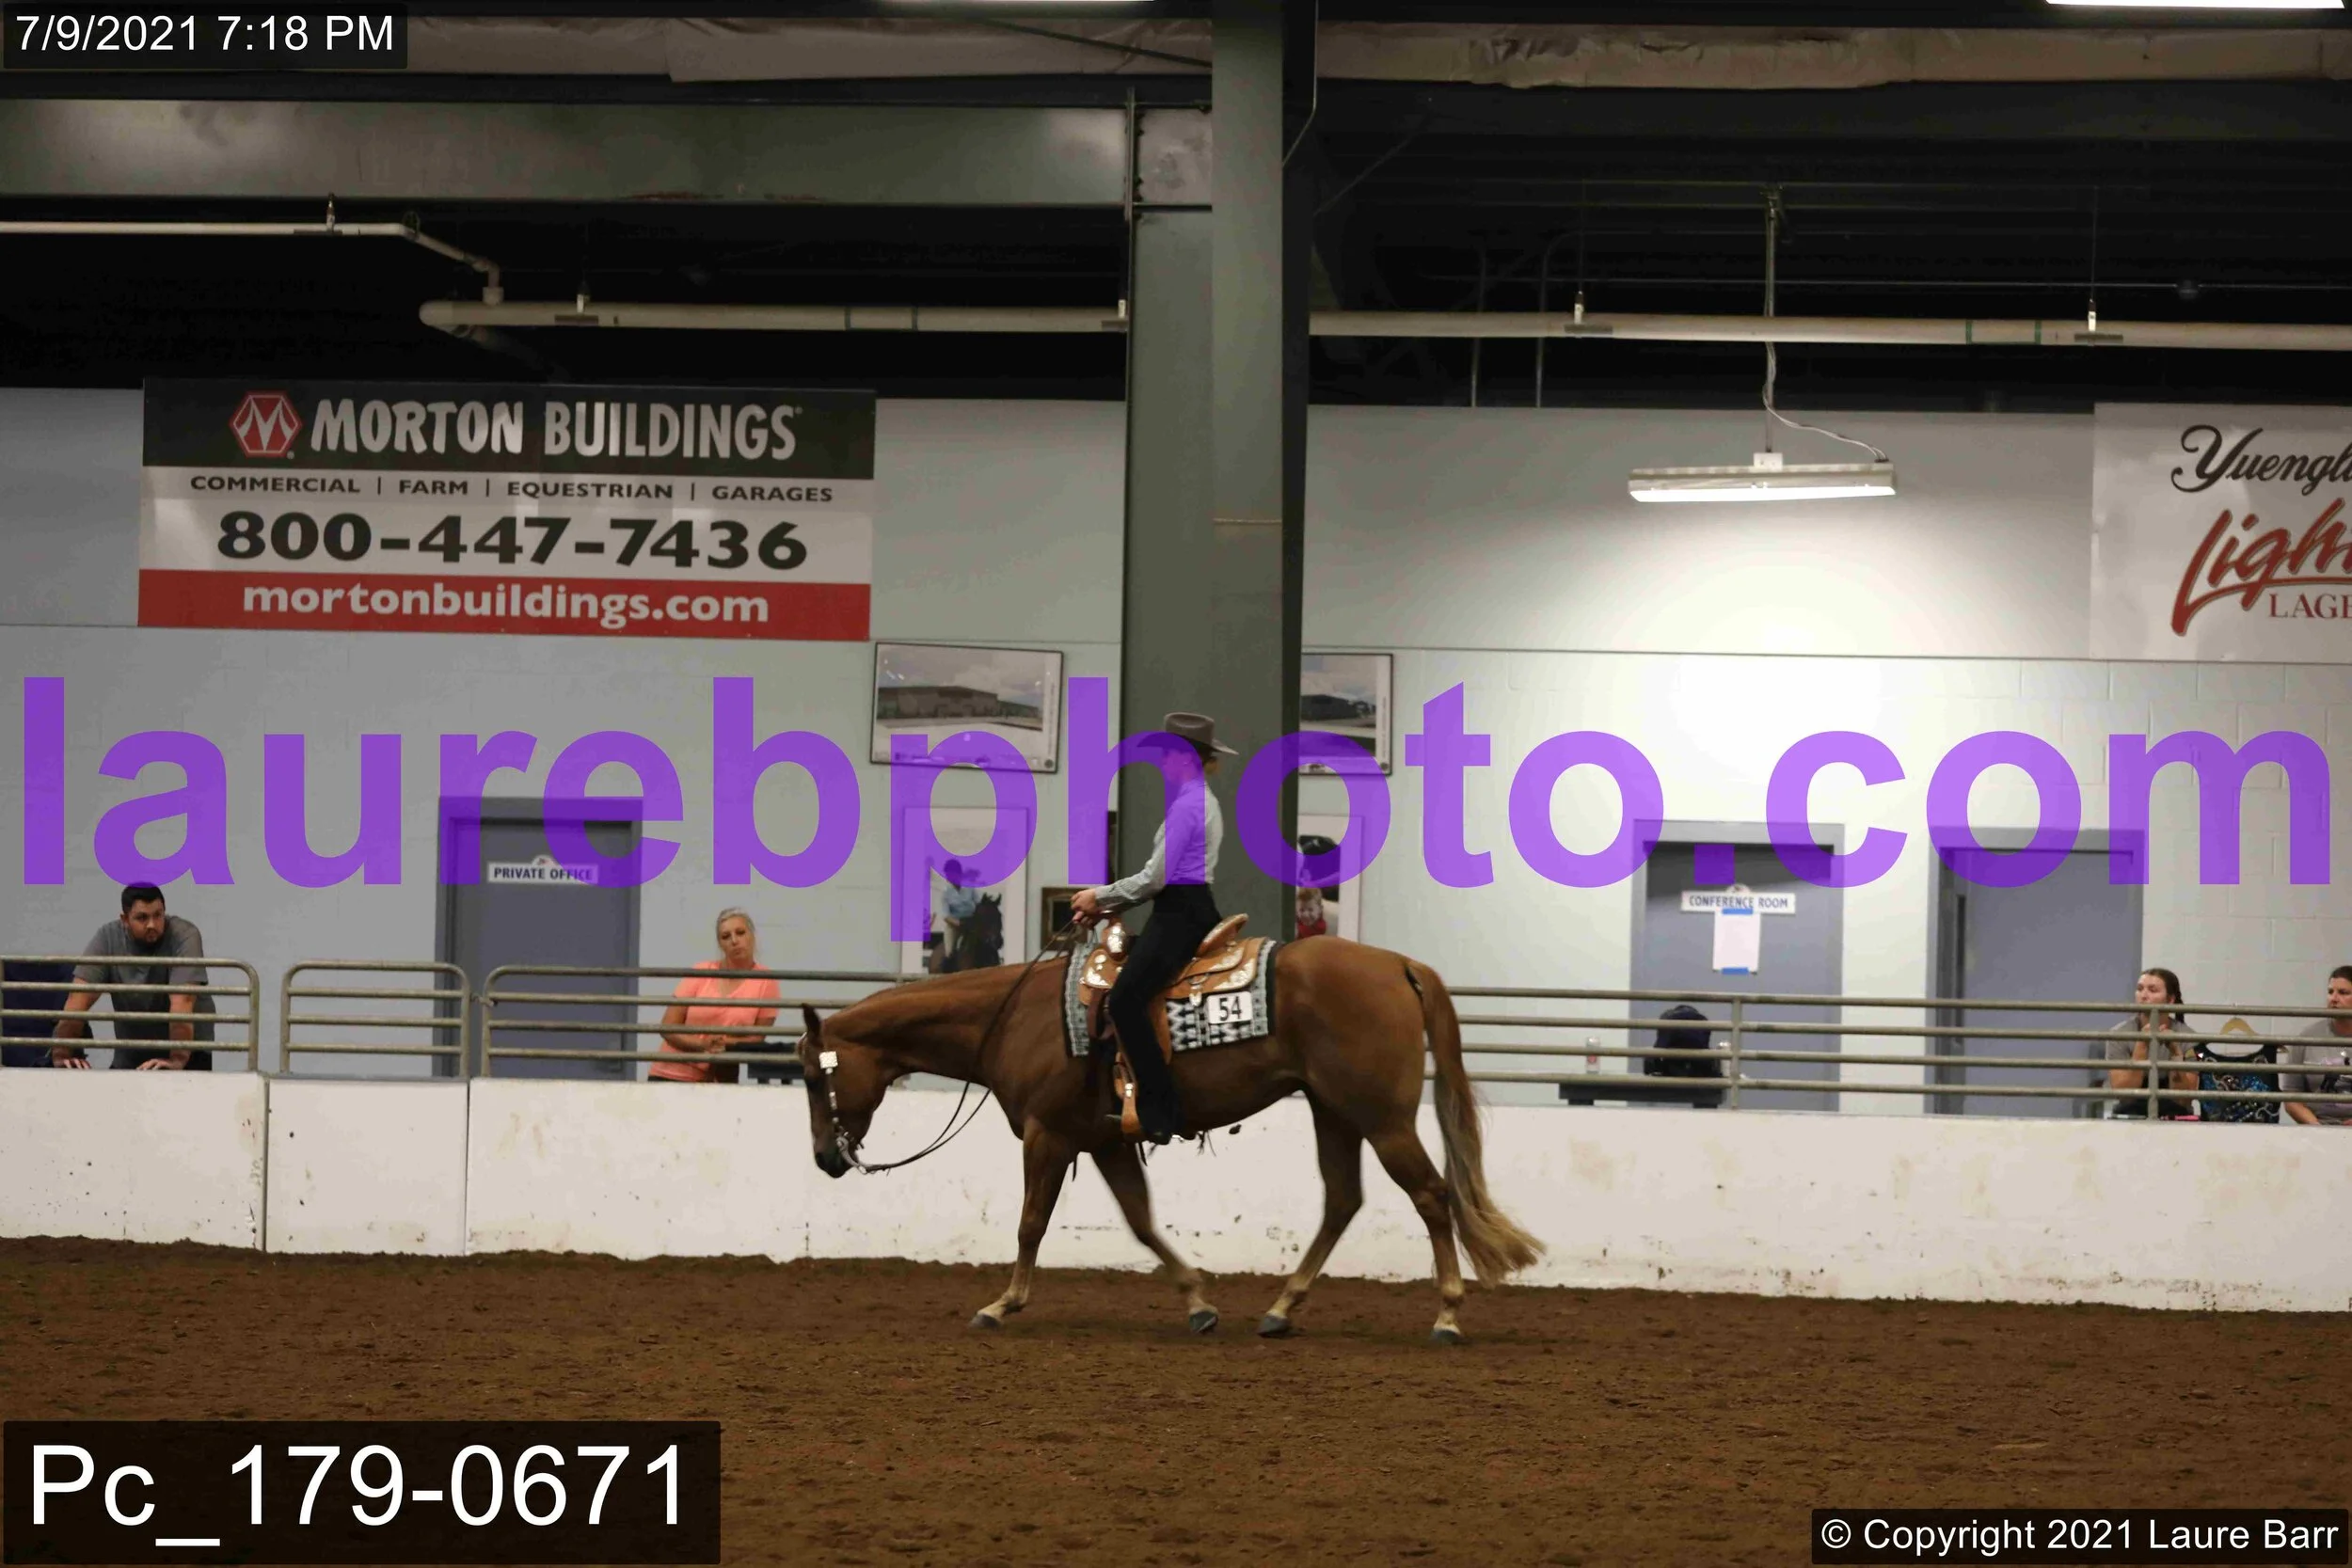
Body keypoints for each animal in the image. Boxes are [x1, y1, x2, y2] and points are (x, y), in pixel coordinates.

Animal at [796, 935, 1543, 1343]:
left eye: (808, 1073)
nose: (826, 1159)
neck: (1015, 1018)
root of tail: (1397, 964)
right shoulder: (1102, 1141)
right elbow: (1141, 1220)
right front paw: (1199, 1303)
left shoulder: (1046, 1135)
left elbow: (1031, 1222)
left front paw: (1001, 1304)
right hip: (1332, 1110)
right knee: (1342, 1201)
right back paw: (1280, 1308)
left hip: (1381, 1117)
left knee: (1432, 1195)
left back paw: (1447, 1315)